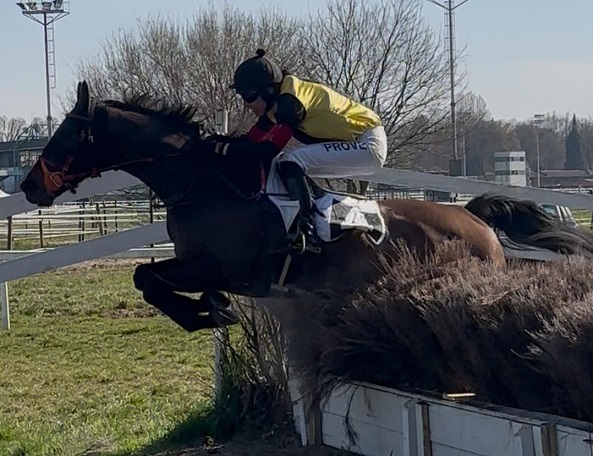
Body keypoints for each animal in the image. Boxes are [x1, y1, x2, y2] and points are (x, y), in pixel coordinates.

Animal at [20, 81, 592, 332]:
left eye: (66, 134)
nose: (28, 185)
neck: (205, 183)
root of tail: (475, 219)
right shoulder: (201, 264)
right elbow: (147, 276)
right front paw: (210, 309)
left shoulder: (221, 265)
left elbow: (146, 275)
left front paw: (203, 313)